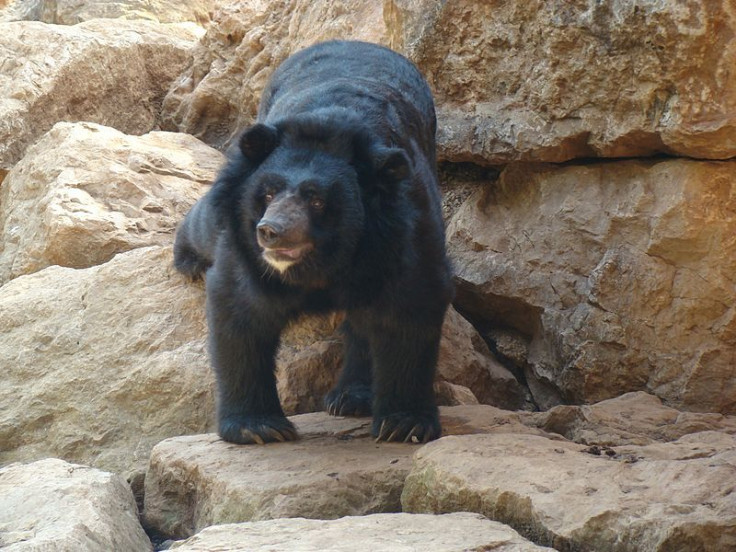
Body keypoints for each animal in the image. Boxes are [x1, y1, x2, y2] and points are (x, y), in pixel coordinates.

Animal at [175, 40, 452, 444]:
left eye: (316, 200)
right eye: (268, 192)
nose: (270, 230)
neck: (326, 264)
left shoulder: (402, 233)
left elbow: (409, 311)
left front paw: (405, 424)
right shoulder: (245, 252)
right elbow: (240, 312)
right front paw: (258, 427)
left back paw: (351, 397)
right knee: (205, 222)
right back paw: (187, 259)